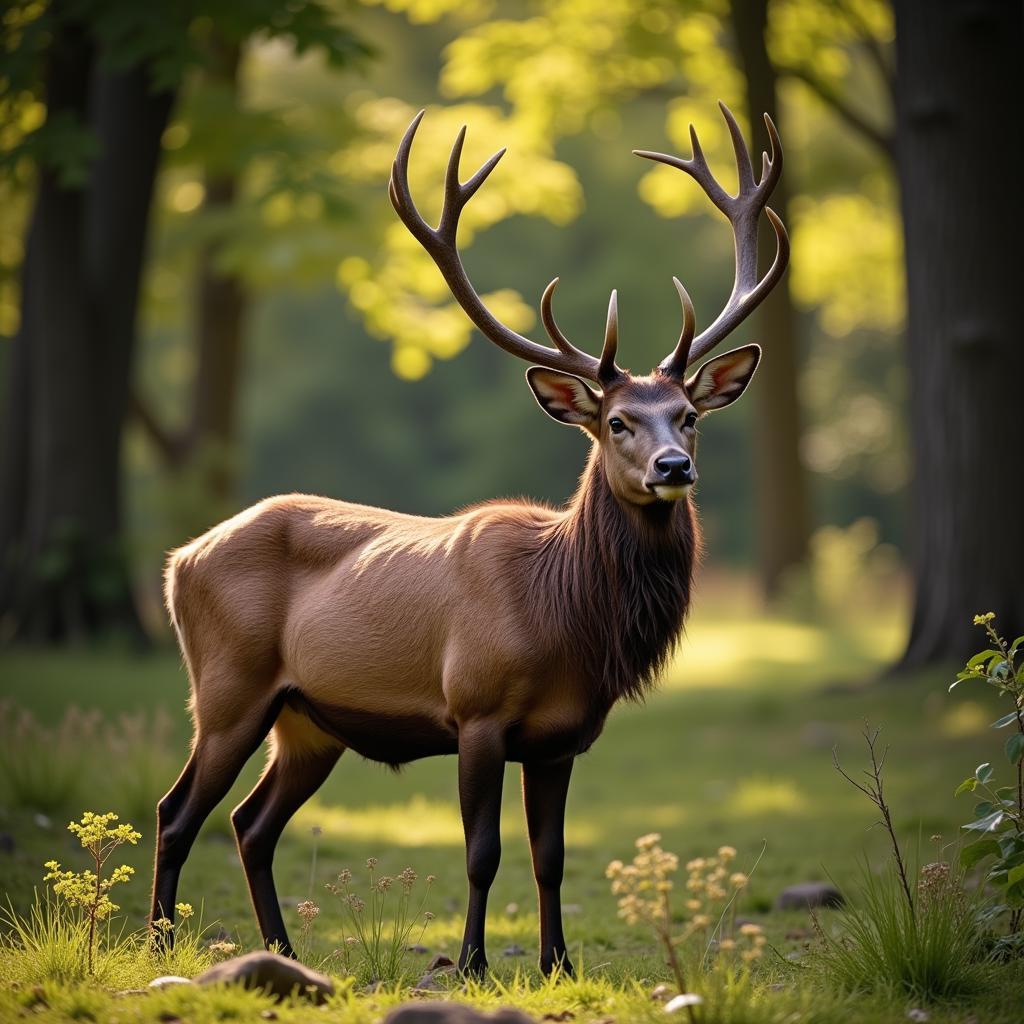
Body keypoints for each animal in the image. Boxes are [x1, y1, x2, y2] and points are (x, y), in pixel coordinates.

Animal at [151, 101, 786, 974]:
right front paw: (475, 962)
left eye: (688, 414)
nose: (674, 466)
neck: (568, 622)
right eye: (617, 422)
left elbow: (551, 856)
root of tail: (178, 560)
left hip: (305, 718)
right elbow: (483, 852)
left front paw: (558, 964)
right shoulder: (475, 709)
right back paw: (160, 943)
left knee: (252, 823)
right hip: (227, 687)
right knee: (178, 811)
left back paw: (280, 950)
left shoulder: (561, 739)